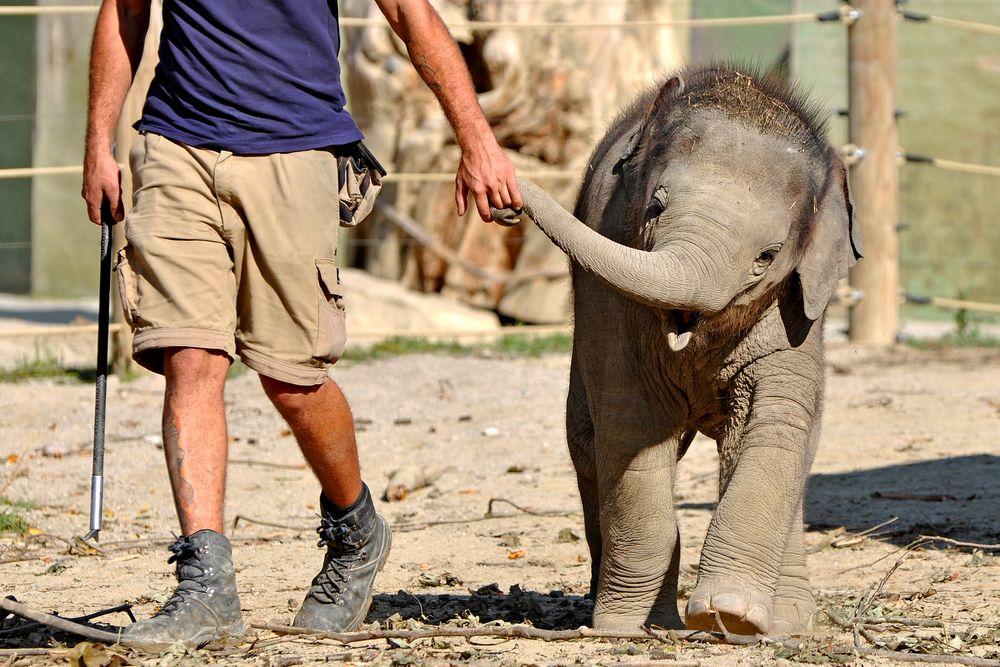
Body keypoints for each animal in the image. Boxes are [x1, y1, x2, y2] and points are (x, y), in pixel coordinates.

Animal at [496, 62, 864, 636]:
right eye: (655, 206)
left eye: (768, 255)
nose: (507, 197)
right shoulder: (607, 278)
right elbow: (634, 422)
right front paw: (628, 627)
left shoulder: (799, 308)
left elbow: (774, 421)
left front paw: (730, 614)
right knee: (588, 442)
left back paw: (790, 620)